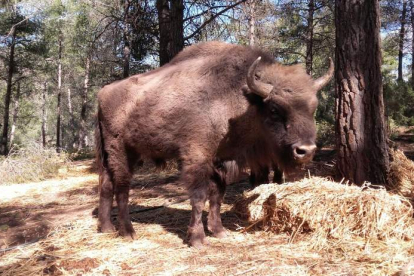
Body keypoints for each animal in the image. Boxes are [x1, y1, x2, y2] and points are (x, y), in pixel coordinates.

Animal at [94, 41, 334, 248]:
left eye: (313, 107)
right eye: (274, 109)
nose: (306, 151)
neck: (238, 98)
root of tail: (103, 93)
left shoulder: (222, 159)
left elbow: (217, 195)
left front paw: (219, 231)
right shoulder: (197, 157)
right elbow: (199, 196)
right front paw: (197, 239)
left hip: (121, 153)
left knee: (106, 184)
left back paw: (106, 228)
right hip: (120, 150)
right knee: (122, 187)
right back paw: (127, 232)